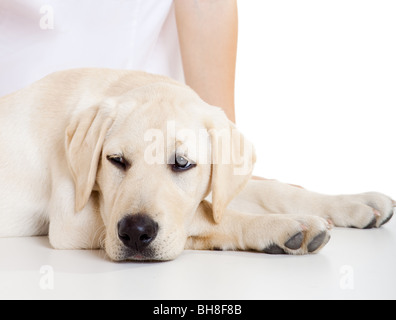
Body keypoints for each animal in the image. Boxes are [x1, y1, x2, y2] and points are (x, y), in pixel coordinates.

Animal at [0, 69, 394, 262]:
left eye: (182, 164)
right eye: (116, 161)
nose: (135, 234)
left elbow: (271, 188)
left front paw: (356, 202)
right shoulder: (73, 220)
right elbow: (205, 214)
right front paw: (283, 228)